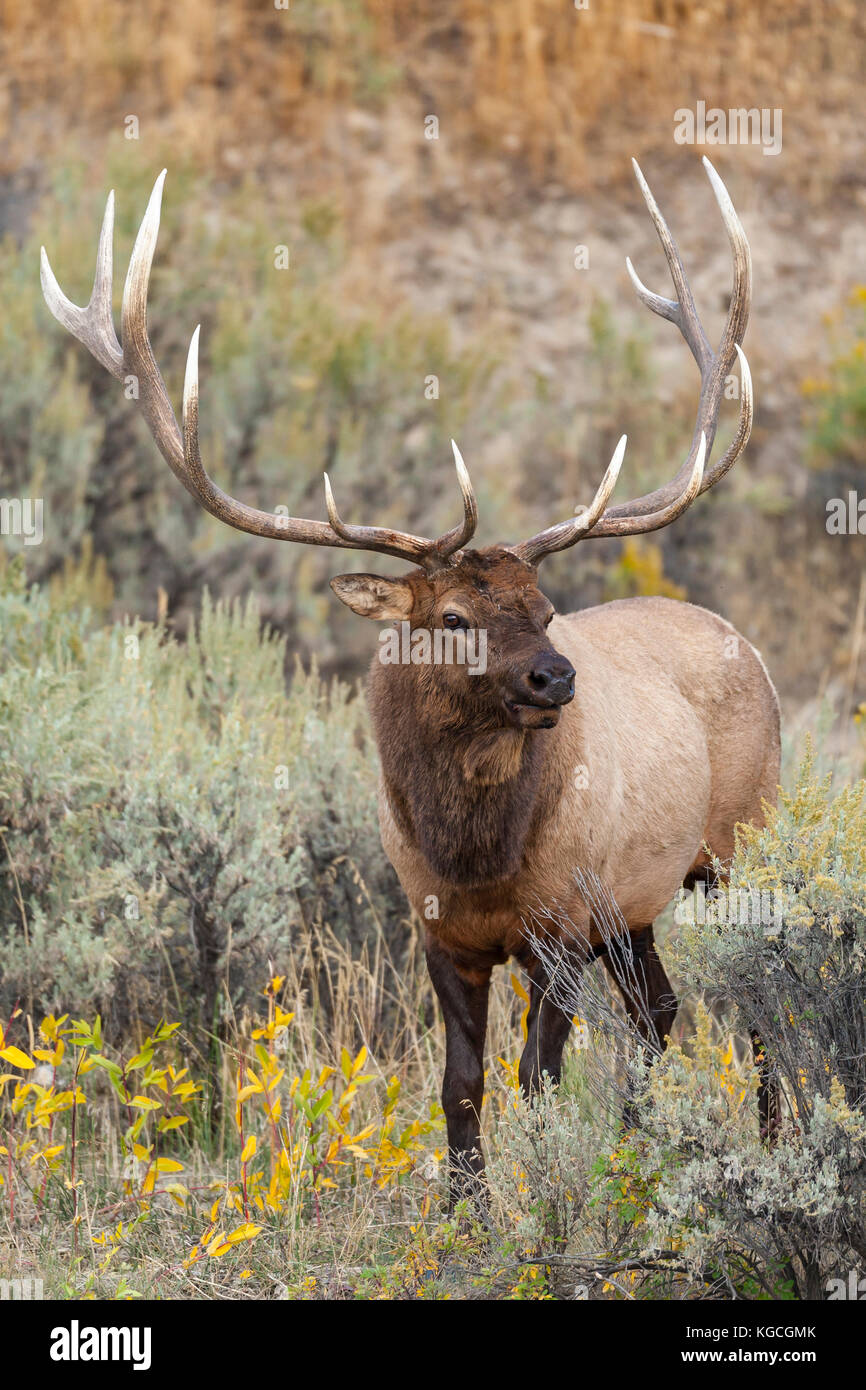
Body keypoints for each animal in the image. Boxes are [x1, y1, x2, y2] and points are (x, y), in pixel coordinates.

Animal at [40, 159, 783, 1206]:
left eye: (544, 605)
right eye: (454, 617)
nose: (556, 677)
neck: (476, 855)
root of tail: (744, 644)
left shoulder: (562, 919)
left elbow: (539, 1080)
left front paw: (541, 1198)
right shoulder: (438, 927)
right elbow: (461, 1084)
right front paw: (466, 1211)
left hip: (741, 842)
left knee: (756, 1003)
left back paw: (762, 1149)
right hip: (639, 905)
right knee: (661, 1010)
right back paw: (640, 1153)